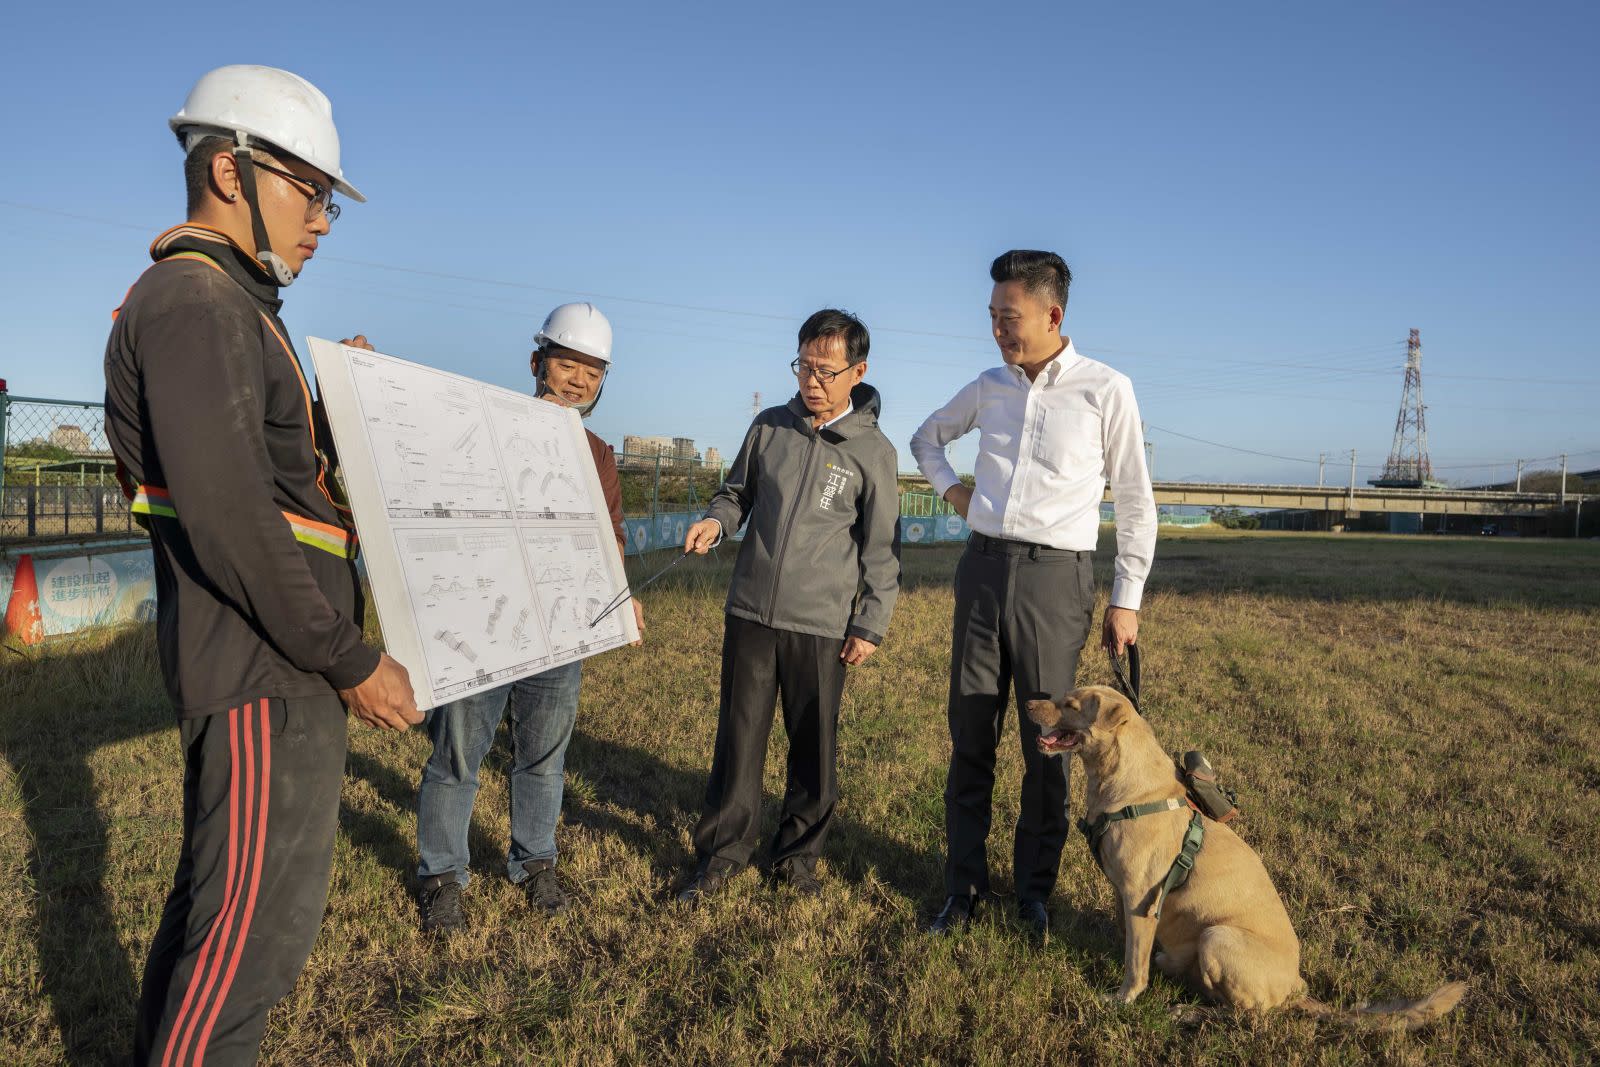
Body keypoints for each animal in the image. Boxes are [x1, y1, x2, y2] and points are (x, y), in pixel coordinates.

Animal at [1024, 687, 1465, 1030]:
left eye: (1070, 704)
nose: (1028, 703)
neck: (1126, 788)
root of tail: (1295, 989)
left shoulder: (1140, 898)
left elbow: (1135, 965)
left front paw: (1122, 999)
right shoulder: (1124, 895)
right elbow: (1130, 945)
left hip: (1217, 936)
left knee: (1244, 1014)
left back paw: (1187, 1011)